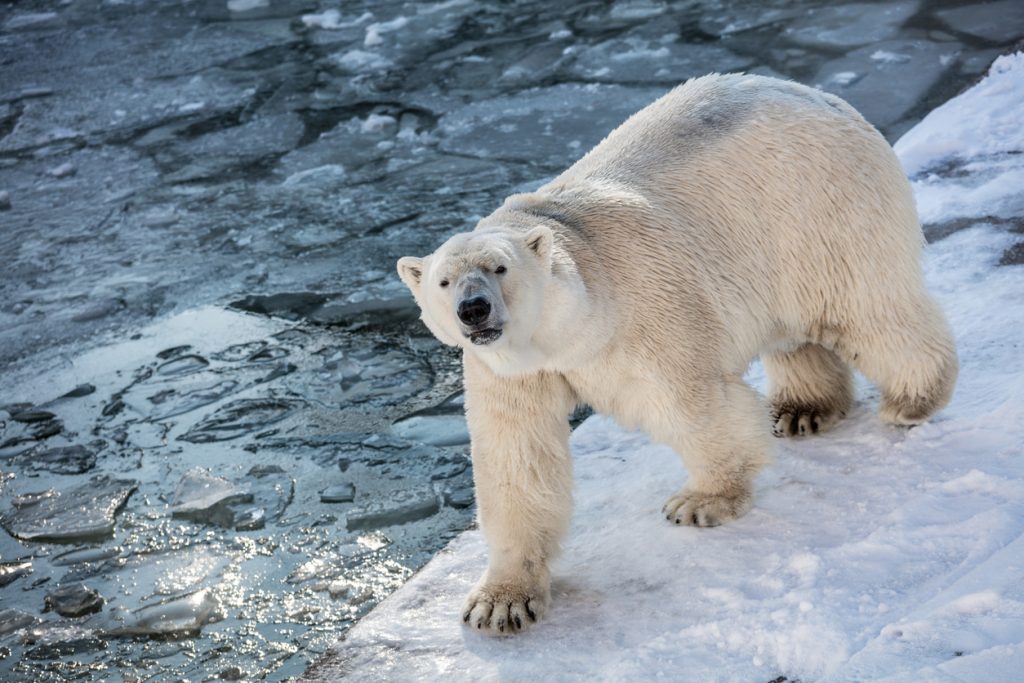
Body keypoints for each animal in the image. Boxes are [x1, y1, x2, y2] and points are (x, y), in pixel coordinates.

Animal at [393, 74, 958, 634]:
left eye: (499, 268)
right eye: (445, 281)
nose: (473, 309)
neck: (573, 325)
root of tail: (821, 96)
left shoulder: (645, 305)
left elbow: (693, 403)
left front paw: (701, 501)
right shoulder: (510, 370)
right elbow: (519, 458)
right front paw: (500, 603)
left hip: (820, 210)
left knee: (868, 308)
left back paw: (912, 399)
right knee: (797, 334)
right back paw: (802, 409)